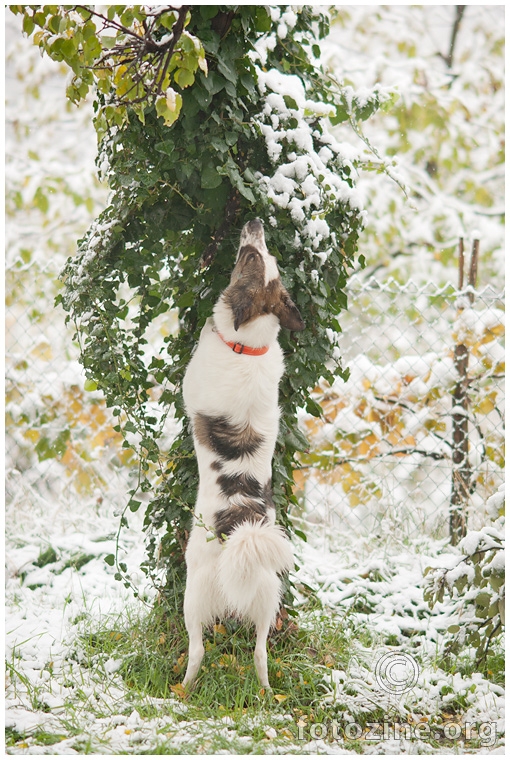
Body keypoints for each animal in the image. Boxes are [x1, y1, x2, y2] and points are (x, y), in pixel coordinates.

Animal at [181, 215, 304, 688]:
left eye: (249, 257)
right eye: (264, 257)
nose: (254, 221)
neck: (248, 346)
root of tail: (240, 531)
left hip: (192, 592)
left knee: (197, 650)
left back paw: (183, 689)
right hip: (268, 598)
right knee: (260, 653)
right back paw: (267, 691)